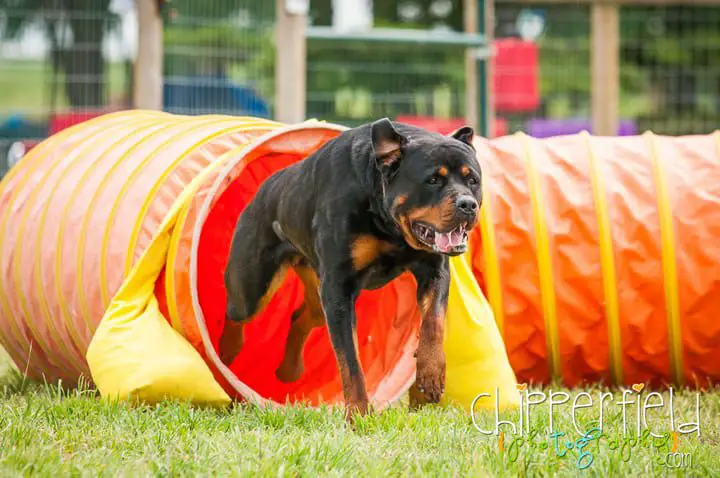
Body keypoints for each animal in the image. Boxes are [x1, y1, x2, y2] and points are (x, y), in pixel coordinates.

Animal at [217, 117, 480, 420]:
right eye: (433, 180)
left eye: (473, 181)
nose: (468, 204)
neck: (388, 223)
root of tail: (264, 190)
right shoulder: (339, 289)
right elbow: (351, 362)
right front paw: (358, 416)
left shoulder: (434, 270)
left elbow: (433, 321)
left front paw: (431, 374)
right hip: (254, 286)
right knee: (236, 312)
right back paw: (226, 355)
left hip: (317, 292)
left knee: (301, 316)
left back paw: (289, 370)